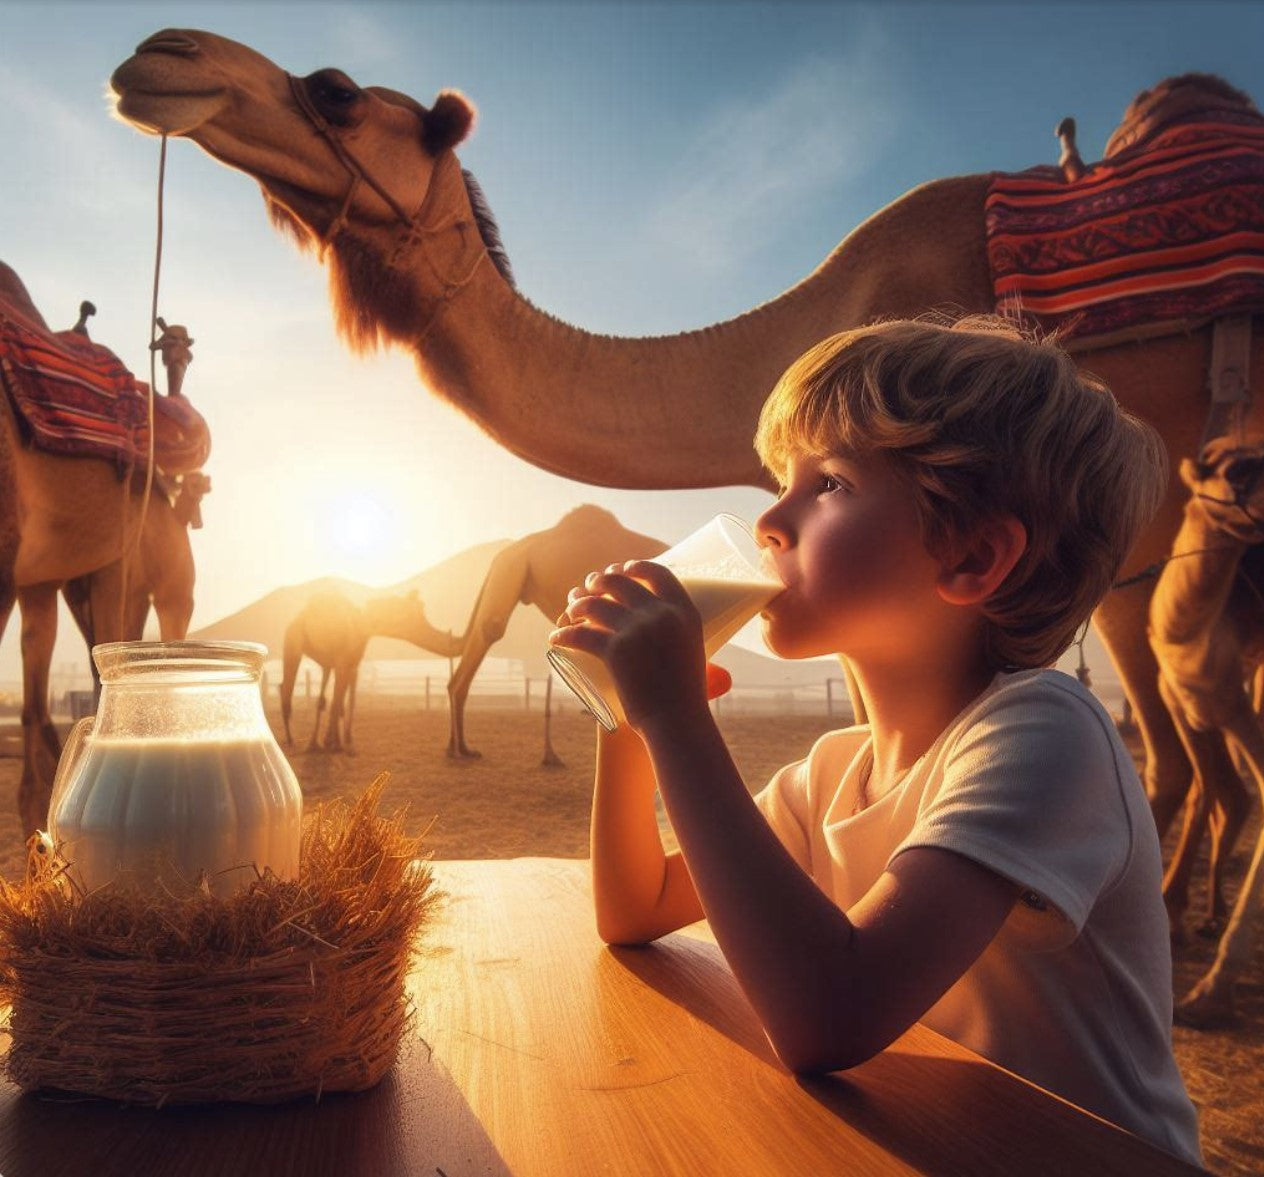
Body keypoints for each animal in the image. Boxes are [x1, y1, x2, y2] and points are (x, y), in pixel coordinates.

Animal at [281, 589, 465, 753]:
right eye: (419, 614)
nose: (452, 636)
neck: (364, 621)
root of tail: (300, 617)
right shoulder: (344, 661)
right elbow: (338, 702)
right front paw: (333, 743)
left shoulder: (350, 663)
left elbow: (343, 701)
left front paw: (339, 742)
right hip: (292, 642)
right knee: (286, 685)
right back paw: (291, 740)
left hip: (316, 654)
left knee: (316, 696)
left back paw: (309, 743)